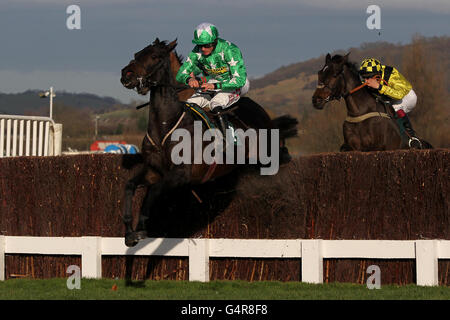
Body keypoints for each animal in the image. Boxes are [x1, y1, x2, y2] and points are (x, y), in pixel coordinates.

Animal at [119, 38, 298, 248]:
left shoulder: (181, 175)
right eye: (137, 54)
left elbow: (153, 192)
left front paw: (141, 227)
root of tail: (261, 111)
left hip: (265, 152)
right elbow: (129, 185)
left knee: (279, 154)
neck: (166, 124)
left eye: (156, 56)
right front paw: (129, 231)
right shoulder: (153, 170)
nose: (126, 75)